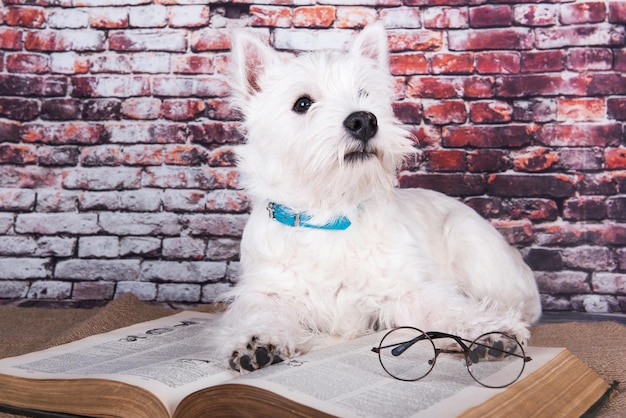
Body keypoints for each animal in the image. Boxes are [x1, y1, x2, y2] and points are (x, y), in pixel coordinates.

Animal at [217, 22, 540, 372]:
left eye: (365, 94)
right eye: (302, 103)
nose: (364, 120)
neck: (329, 212)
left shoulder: (405, 289)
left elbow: (446, 307)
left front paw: (489, 331)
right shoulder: (268, 290)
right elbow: (260, 311)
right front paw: (256, 342)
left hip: (473, 245)